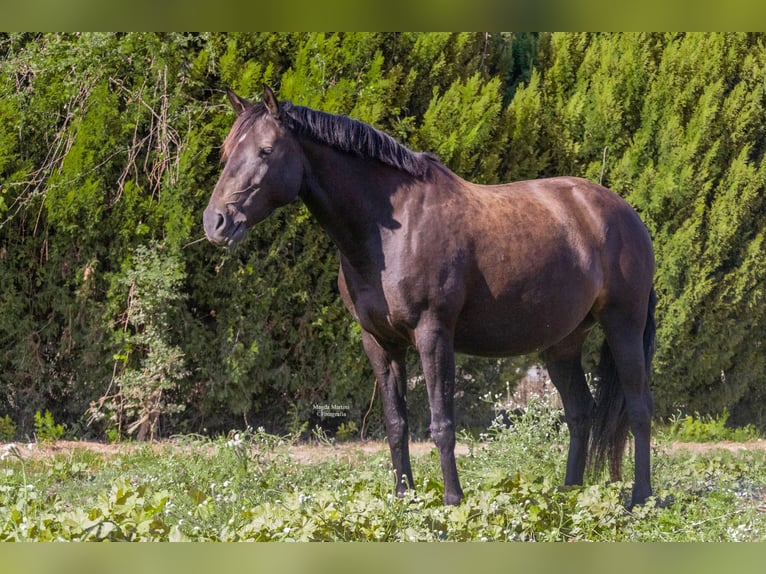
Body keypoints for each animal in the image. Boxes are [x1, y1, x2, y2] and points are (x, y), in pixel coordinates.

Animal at [206, 84, 660, 508]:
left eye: (266, 151)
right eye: (227, 151)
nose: (216, 222)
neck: (391, 230)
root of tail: (623, 213)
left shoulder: (433, 334)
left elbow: (442, 424)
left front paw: (452, 499)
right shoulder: (380, 343)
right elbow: (395, 423)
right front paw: (403, 497)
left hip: (623, 324)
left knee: (639, 409)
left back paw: (641, 496)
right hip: (562, 342)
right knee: (580, 412)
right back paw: (569, 492)